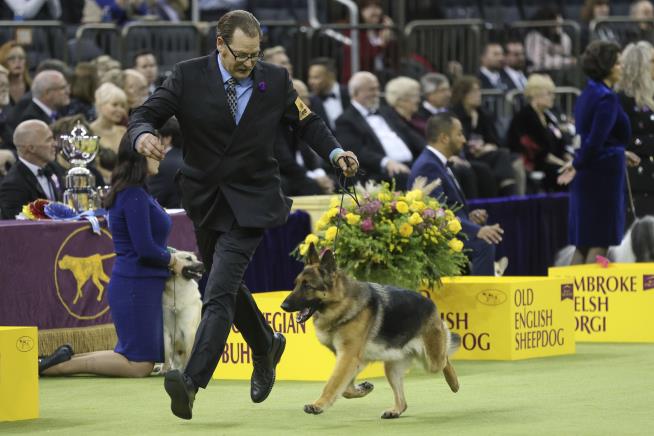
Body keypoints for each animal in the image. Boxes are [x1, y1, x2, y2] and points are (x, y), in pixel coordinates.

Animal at [282, 245, 462, 418]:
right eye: (296, 284)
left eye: (308, 286)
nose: (283, 306)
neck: (342, 303)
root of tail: (430, 303)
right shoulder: (351, 359)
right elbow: (344, 387)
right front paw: (362, 389)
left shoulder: (348, 356)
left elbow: (332, 383)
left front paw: (318, 405)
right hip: (393, 367)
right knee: (403, 401)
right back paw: (395, 411)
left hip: (432, 360)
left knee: (445, 357)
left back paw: (454, 382)